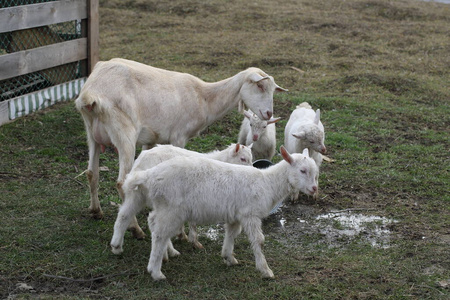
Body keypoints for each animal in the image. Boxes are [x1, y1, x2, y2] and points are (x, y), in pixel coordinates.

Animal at [75, 57, 286, 234]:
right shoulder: (179, 136)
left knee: (92, 172)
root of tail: (91, 93)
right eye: (259, 85)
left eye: (272, 89)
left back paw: (96, 211)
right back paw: (135, 229)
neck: (204, 98)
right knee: (121, 182)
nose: (268, 113)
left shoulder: (151, 140)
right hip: (124, 132)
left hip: (91, 132)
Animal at [110, 143, 253, 253]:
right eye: (243, 159)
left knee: (124, 215)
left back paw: (117, 246)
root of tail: (140, 165)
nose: (253, 170)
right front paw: (193, 241)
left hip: (137, 194)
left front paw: (183, 235)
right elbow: (193, 222)